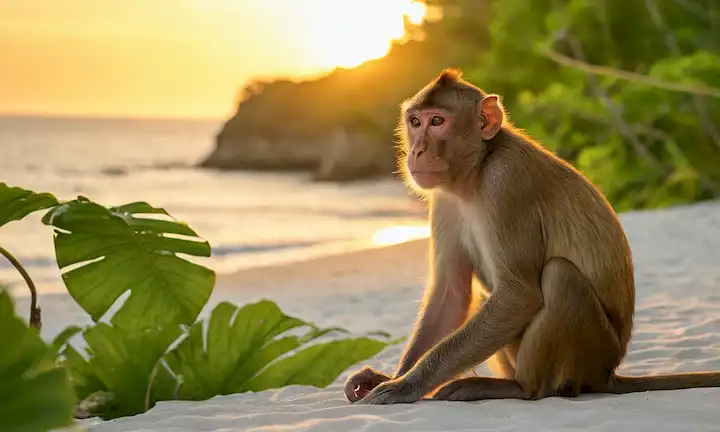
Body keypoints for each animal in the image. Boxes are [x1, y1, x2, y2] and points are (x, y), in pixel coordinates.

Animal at [344, 68, 720, 405]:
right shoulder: (444, 201)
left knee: (559, 277)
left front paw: (405, 385)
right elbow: (451, 292)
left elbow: (519, 295)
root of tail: (608, 373)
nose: (417, 151)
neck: (477, 169)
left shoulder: (505, 182)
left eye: (437, 121)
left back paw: (521, 388)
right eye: (415, 121)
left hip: (592, 352)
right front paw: (391, 376)